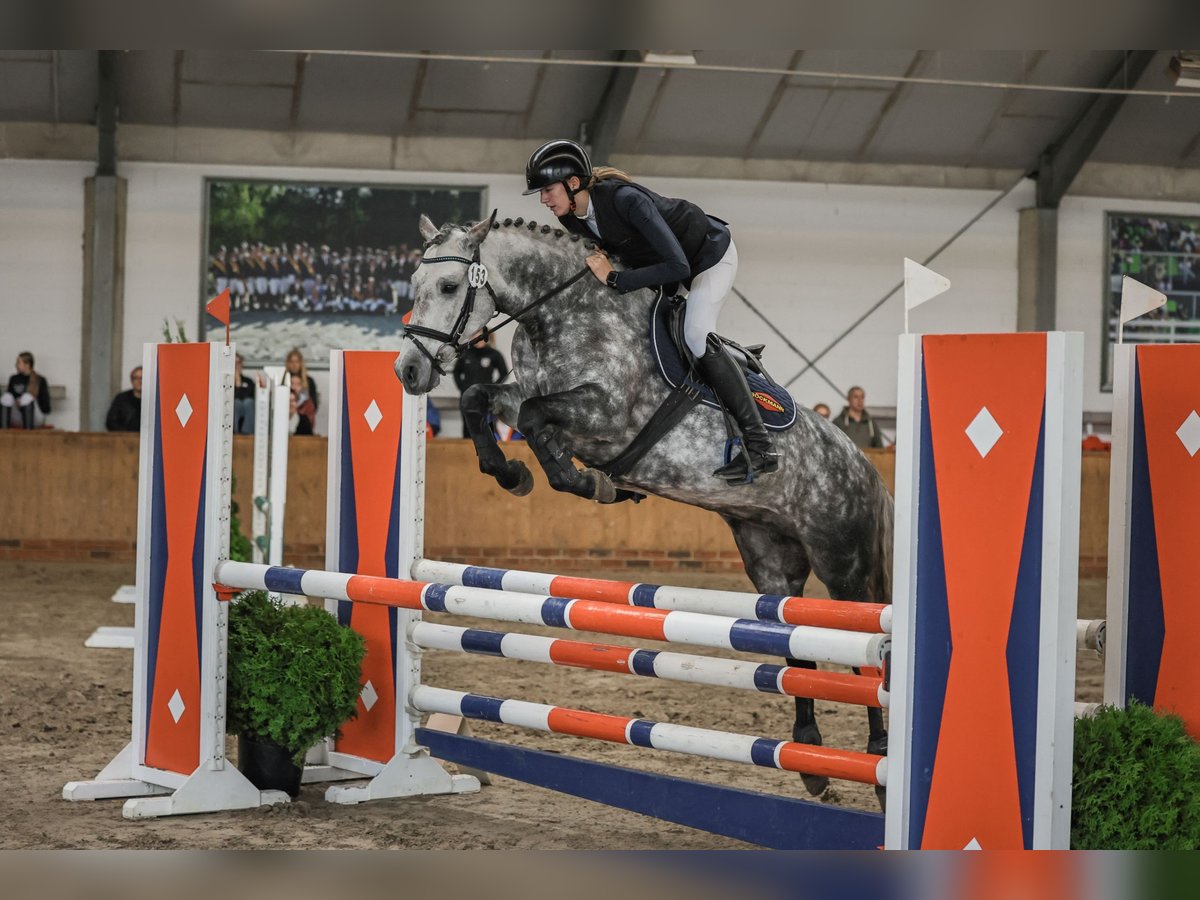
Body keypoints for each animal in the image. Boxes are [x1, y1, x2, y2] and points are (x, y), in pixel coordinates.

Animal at [393, 213, 892, 801]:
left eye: (450, 287)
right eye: (414, 286)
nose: (407, 371)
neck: (561, 310)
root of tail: (866, 467)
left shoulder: (606, 415)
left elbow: (539, 419)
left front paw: (587, 482)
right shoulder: (526, 399)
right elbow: (482, 401)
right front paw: (515, 474)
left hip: (843, 565)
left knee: (865, 657)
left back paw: (879, 762)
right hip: (771, 560)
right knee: (794, 645)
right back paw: (812, 764)